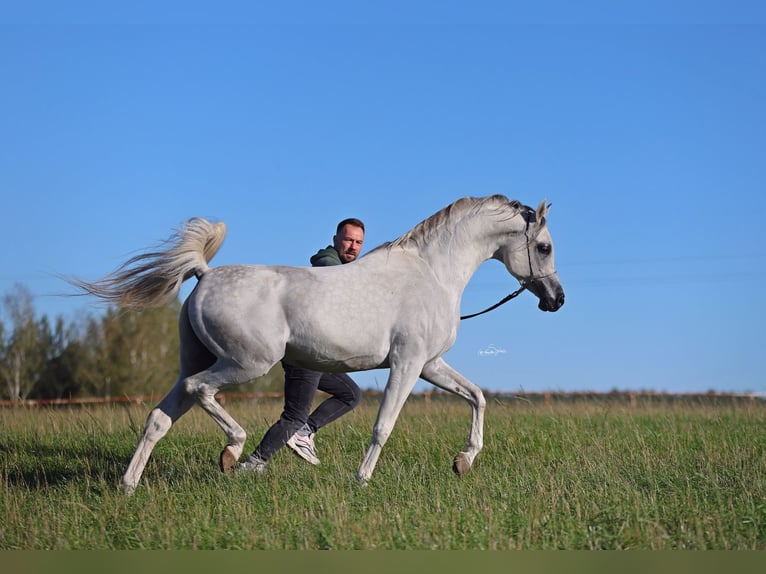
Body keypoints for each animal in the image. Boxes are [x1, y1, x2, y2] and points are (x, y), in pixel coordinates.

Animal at [71, 194, 564, 493]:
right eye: (543, 247)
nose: (556, 299)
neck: (432, 273)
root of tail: (205, 275)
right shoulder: (406, 365)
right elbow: (383, 426)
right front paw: (361, 480)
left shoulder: (430, 365)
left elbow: (477, 397)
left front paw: (463, 461)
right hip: (247, 363)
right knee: (202, 391)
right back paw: (232, 453)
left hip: (199, 362)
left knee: (159, 417)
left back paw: (128, 486)